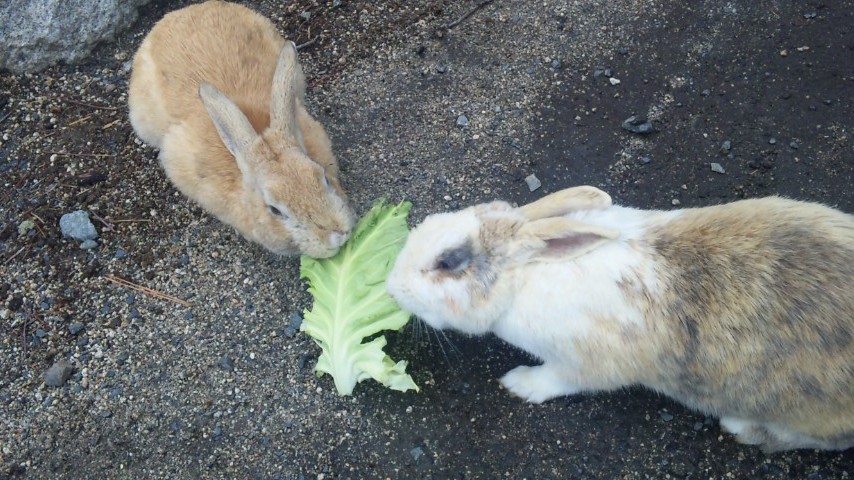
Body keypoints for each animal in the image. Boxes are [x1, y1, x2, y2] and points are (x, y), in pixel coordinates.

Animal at [388, 186, 854, 452]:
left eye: (449, 261)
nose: (391, 286)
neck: (527, 275)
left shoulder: (586, 362)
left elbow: (559, 379)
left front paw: (519, 384)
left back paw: (742, 427)